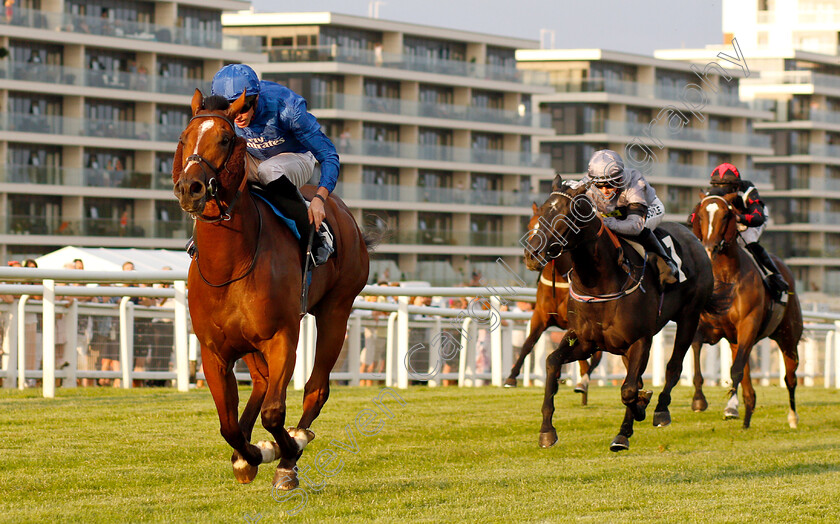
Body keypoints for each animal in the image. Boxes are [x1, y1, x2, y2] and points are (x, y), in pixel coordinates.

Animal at [171, 89, 368, 488]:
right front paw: (247, 456)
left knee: (315, 389)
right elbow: (228, 424)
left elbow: (275, 413)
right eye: (185, 137)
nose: (190, 188)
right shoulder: (215, 350)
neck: (230, 262)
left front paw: (286, 453)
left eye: (225, 139)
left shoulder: (281, 336)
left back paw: (295, 443)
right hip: (247, 342)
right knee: (261, 384)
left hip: (336, 310)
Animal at [502, 203, 600, 408]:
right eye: (530, 225)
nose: (532, 256)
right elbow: (528, 344)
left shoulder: (575, 323)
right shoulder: (539, 316)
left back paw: (583, 383)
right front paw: (511, 378)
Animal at [520, 178, 720, 452]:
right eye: (541, 213)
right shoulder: (586, 341)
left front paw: (626, 429)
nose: (532, 255)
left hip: (689, 317)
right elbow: (552, 362)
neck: (600, 283)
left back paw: (661, 410)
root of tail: (695, 238)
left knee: (673, 366)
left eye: (566, 214)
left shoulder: (641, 340)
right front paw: (547, 430)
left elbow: (628, 390)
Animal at [688, 193, 800, 430]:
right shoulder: (708, 327)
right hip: (737, 340)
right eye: (699, 214)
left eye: (726, 215)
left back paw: (792, 417)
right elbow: (696, 349)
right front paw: (699, 400)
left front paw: (730, 406)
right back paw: (746, 415)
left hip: (788, 337)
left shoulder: (748, 324)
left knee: (790, 377)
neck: (725, 279)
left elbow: (736, 371)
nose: (709, 248)